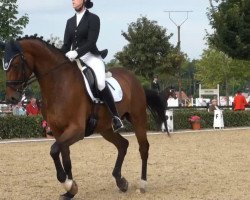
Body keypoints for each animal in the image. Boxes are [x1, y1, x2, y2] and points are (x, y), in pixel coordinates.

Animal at [0, 36, 168, 200]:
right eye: (5, 66)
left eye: (16, 64)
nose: (11, 98)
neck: (59, 84)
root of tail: (133, 78)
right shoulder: (58, 131)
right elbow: (65, 158)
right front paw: (70, 191)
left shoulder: (77, 130)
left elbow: (54, 150)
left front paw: (67, 183)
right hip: (106, 128)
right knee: (123, 144)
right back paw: (121, 181)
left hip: (138, 119)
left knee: (143, 147)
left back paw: (142, 184)